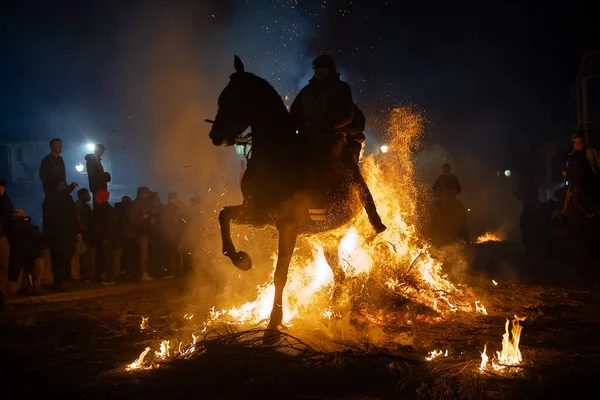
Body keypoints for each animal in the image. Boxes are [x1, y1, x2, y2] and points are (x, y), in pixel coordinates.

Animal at [209, 56, 370, 344]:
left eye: (233, 98)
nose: (215, 135)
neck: (276, 156)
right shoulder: (255, 213)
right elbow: (223, 215)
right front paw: (241, 259)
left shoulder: (288, 225)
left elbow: (280, 275)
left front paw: (273, 326)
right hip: (328, 241)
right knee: (339, 275)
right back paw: (336, 308)